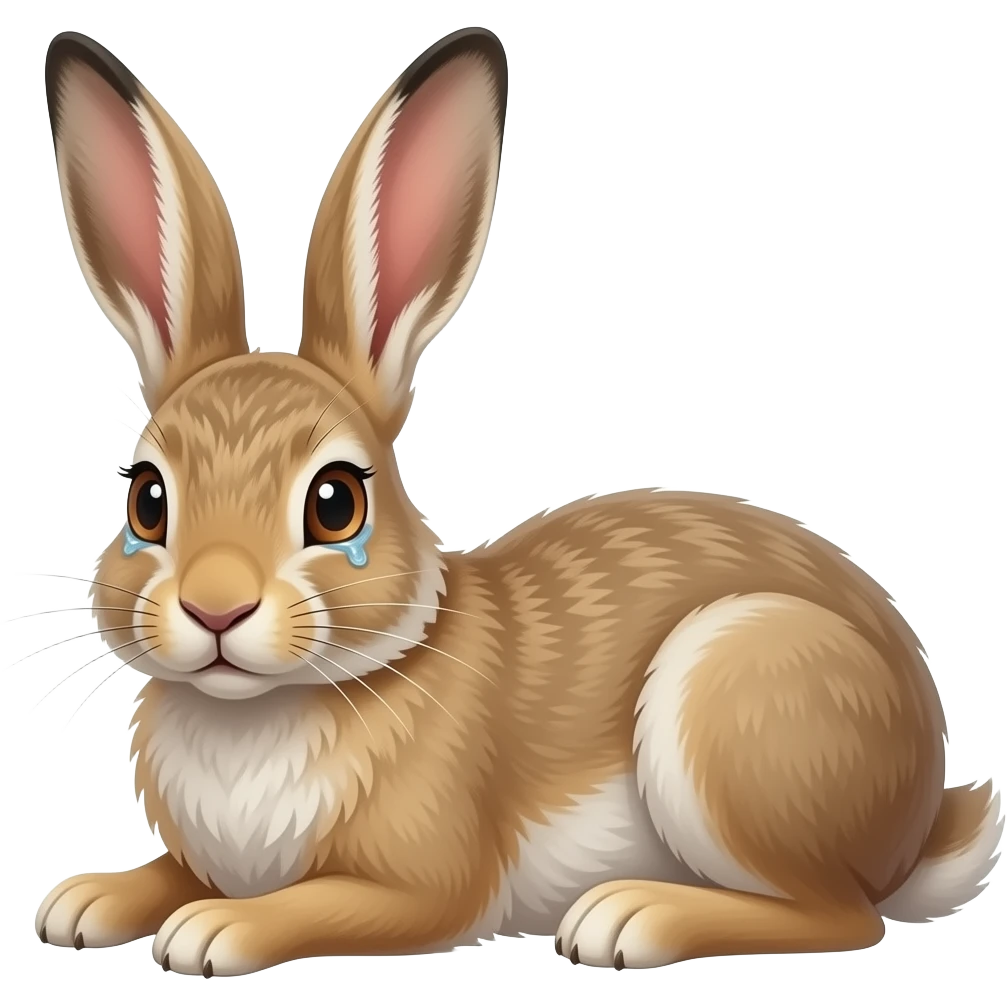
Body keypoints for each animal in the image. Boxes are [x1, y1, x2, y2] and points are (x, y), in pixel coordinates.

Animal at [34, 27, 1002, 977]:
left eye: (336, 504)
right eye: (146, 500)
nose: (215, 607)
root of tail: (920, 819)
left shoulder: (427, 885)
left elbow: (318, 902)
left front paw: (214, 928)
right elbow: (170, 872)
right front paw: (83, 902)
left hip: (734, 704)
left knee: (839, 915)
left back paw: (631, 916)